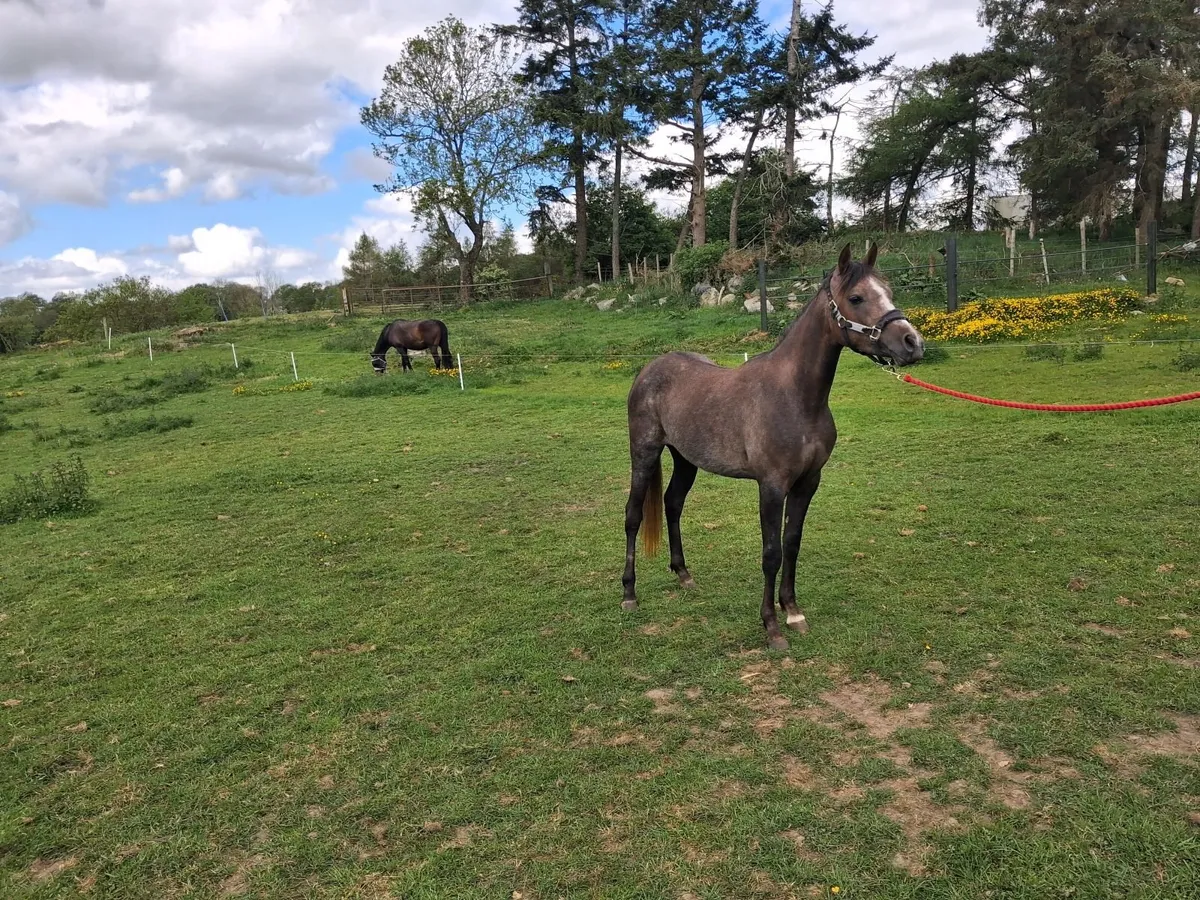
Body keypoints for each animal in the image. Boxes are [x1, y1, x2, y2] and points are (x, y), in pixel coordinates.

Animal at [621, 243, 925, 650]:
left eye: (889, 290)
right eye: (857, 298)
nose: (913, 343)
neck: (795, 398)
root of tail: (649, 370)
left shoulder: (807, 483)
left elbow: (792, 544)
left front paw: (793, 612)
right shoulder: (772, 486)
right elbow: (771, 552)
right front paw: (772, 626)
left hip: (685, 459)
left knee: (673, 504)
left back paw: (683, 574)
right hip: (644, 453)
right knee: (633, 516)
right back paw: (629, 594)